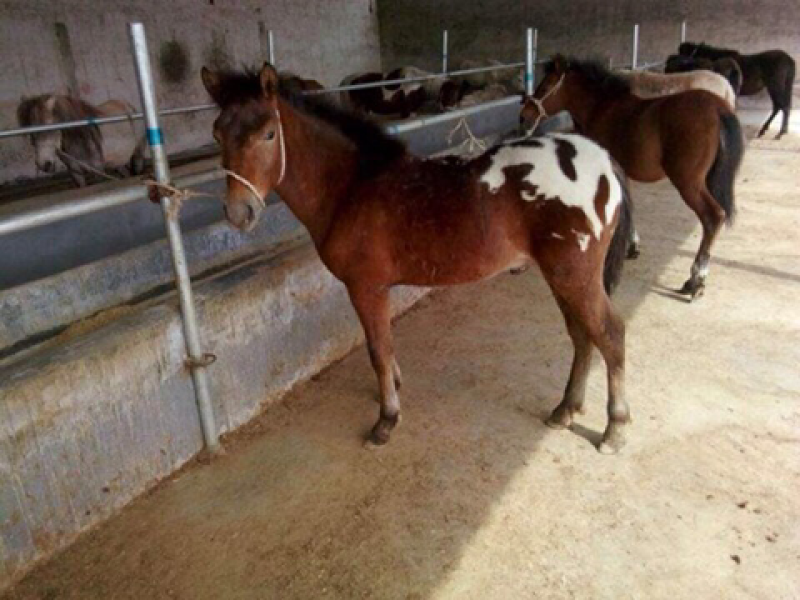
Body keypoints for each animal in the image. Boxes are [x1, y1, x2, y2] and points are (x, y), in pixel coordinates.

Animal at [16, 94, 145, 187]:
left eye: (49, 127)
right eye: (29, 130)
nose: (43, 165)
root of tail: (126, 104)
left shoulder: (97, 170)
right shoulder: (76, 174)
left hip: (137, 152)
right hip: (118, 161)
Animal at [201, 63, 636, 454]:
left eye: (268, 134)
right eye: (217, 132)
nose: (239, 213)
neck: (352, 187)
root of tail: (603, 161)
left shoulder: (366, 288)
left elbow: (377, 351)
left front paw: (386, 420)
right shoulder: (376, 289)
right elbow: (385, 347)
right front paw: (394, 389)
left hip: (573, 275)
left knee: (609, 334)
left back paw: (614, 429)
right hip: (562, 276)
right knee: (582, 335)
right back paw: (565, 409)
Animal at [521, 56, 744, 300]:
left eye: (545, 85)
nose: (524, 116)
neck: (602, 107)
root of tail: (717, 108)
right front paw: (632, 245)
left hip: (689, 183)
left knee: (713, 217)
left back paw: (695, 280)